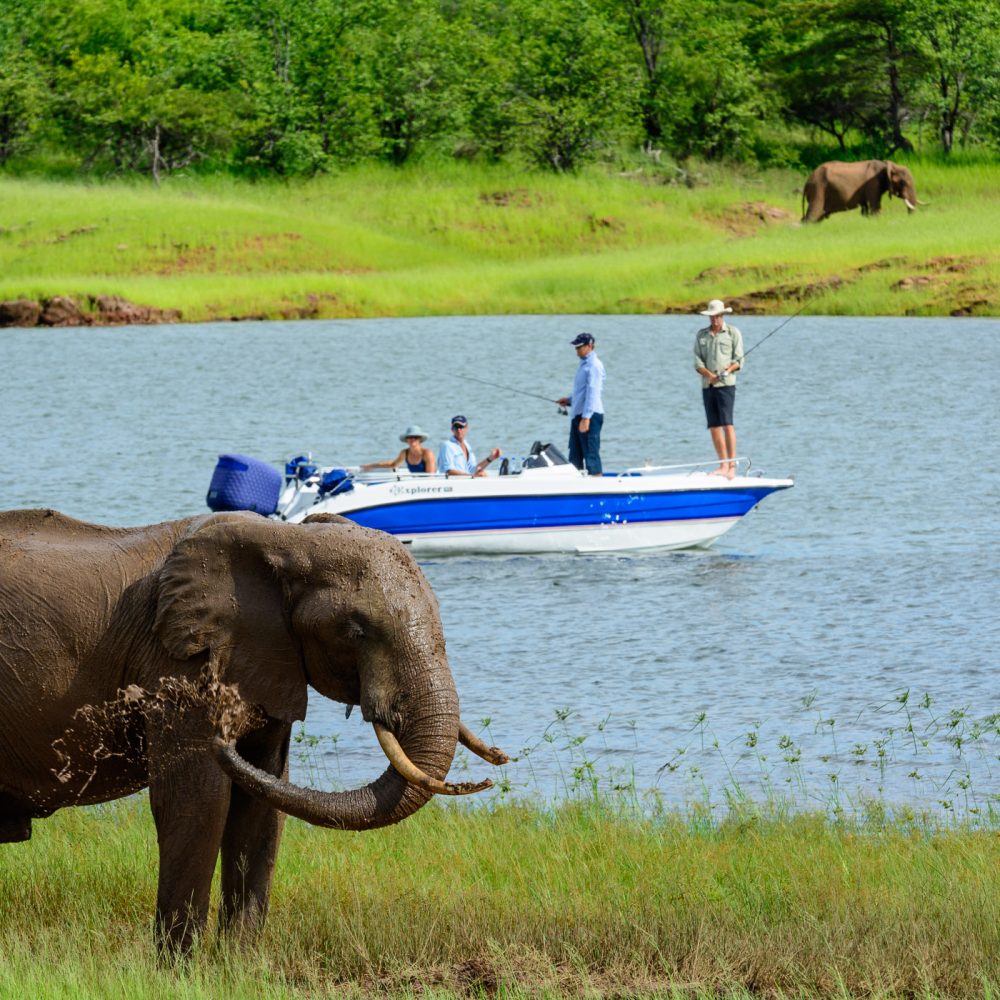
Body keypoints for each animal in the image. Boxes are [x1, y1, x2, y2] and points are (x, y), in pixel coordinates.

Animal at [0, 512, 508, 956]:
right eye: (356, 629)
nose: (497, 765)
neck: (287, 540)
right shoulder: (181, 667)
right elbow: (198, 802)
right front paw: (179, 972)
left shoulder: (269, 660)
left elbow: (261, 802)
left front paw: (237, 965)